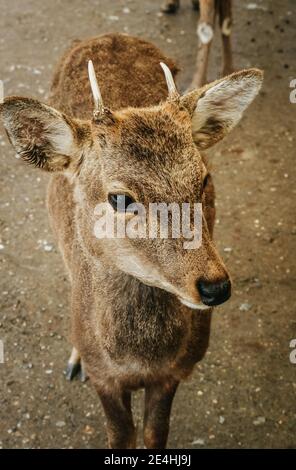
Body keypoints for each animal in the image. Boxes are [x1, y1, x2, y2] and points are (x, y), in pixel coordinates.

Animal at [0, 33, 264, 448]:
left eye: (204, 179)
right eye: (120, 198)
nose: (215, 286)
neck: (139, 361)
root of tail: (108, 36)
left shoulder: (178, 371)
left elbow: (155, 433)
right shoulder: (105, 378)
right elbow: (119, 434)